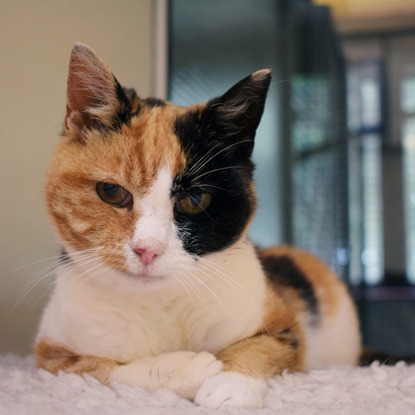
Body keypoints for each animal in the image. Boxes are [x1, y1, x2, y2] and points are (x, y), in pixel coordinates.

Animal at [34, 44, 362, 412]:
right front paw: (191, 368)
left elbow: (260, 347)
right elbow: (104, 370)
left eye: (194, 200)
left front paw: (230, 384)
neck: (160, 304)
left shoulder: (283, 325)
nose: (147, 249)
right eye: (112, 192)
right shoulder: (50, 354)